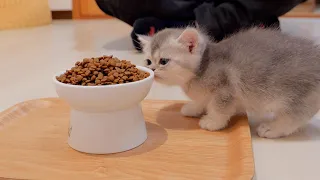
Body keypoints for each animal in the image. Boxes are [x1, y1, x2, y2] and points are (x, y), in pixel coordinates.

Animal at [139, 27, 320, 139]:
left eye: (163, 61)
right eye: (148, 61)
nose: (152, 69)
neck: (204, 66)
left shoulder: (225, 89)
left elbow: (219, 109)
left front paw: (212, 122)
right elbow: (202, 100)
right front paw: (194, 108)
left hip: (294, 96)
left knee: (294, 117)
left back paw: (272, 128)